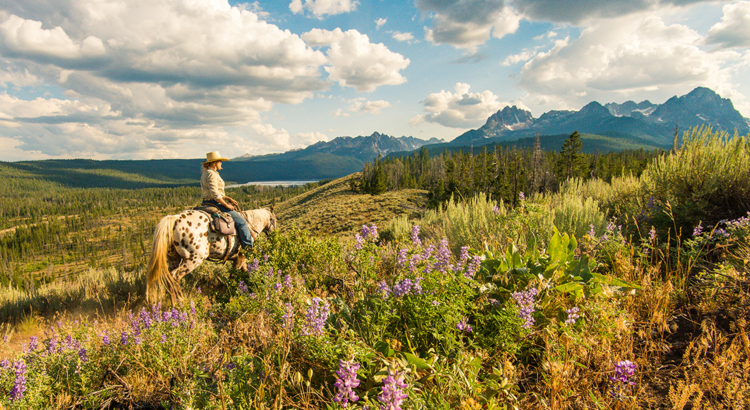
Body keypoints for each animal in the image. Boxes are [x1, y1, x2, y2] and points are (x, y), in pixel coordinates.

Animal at [145, 207, 278, 302]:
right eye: (275, 220)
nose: (274, 233)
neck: (251, 225)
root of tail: (175, 219)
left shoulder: (238, 259)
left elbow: (243, 272)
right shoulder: (241, 257)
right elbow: (235, 275)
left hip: (173, 258)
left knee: (170, 278)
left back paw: (175, 305)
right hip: (194, 259)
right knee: (175, 276)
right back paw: (181, 302)